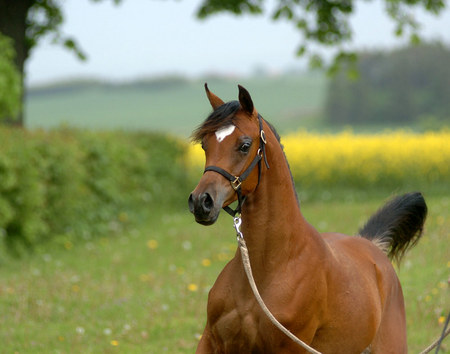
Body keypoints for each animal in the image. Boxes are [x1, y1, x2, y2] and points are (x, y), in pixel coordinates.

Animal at [188, 84, 428, 352]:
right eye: (205, 145)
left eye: (244, 145)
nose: (201, 202)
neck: (268, 268)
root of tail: (371, 245)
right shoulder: (212, 341)